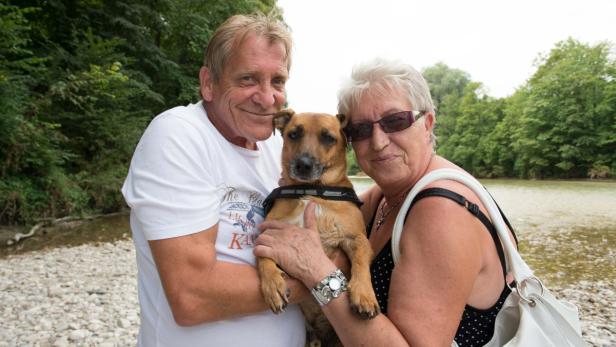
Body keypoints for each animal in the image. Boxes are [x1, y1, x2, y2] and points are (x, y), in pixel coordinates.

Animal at [256, 110, 380, 346]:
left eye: (328, 137)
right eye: (293, 134)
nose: (303, 164)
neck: (312, 190)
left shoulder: (357, 238)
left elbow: (360, 263)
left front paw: (364, 294)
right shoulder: (268, 235)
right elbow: (262, 258)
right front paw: (273, 285)